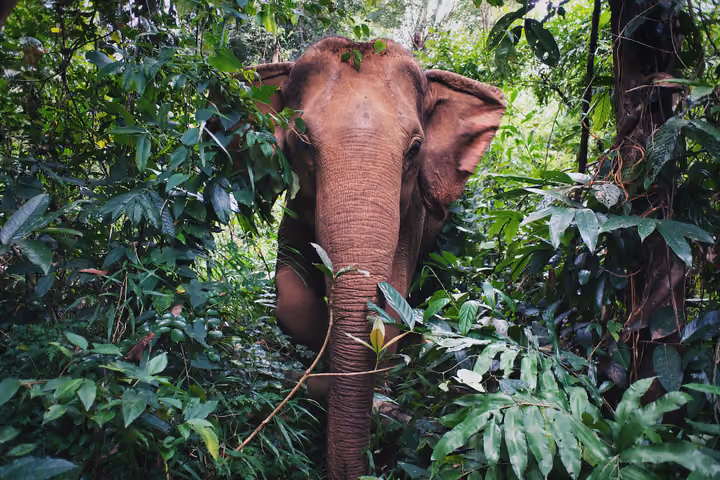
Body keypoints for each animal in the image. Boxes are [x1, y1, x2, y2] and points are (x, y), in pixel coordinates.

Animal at [230, 37, 505, 479]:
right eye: (301, 141)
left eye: (415, 148)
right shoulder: (295, 204)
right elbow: (291, 296)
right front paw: (322, 363)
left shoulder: (414, 215)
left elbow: (395, 299)